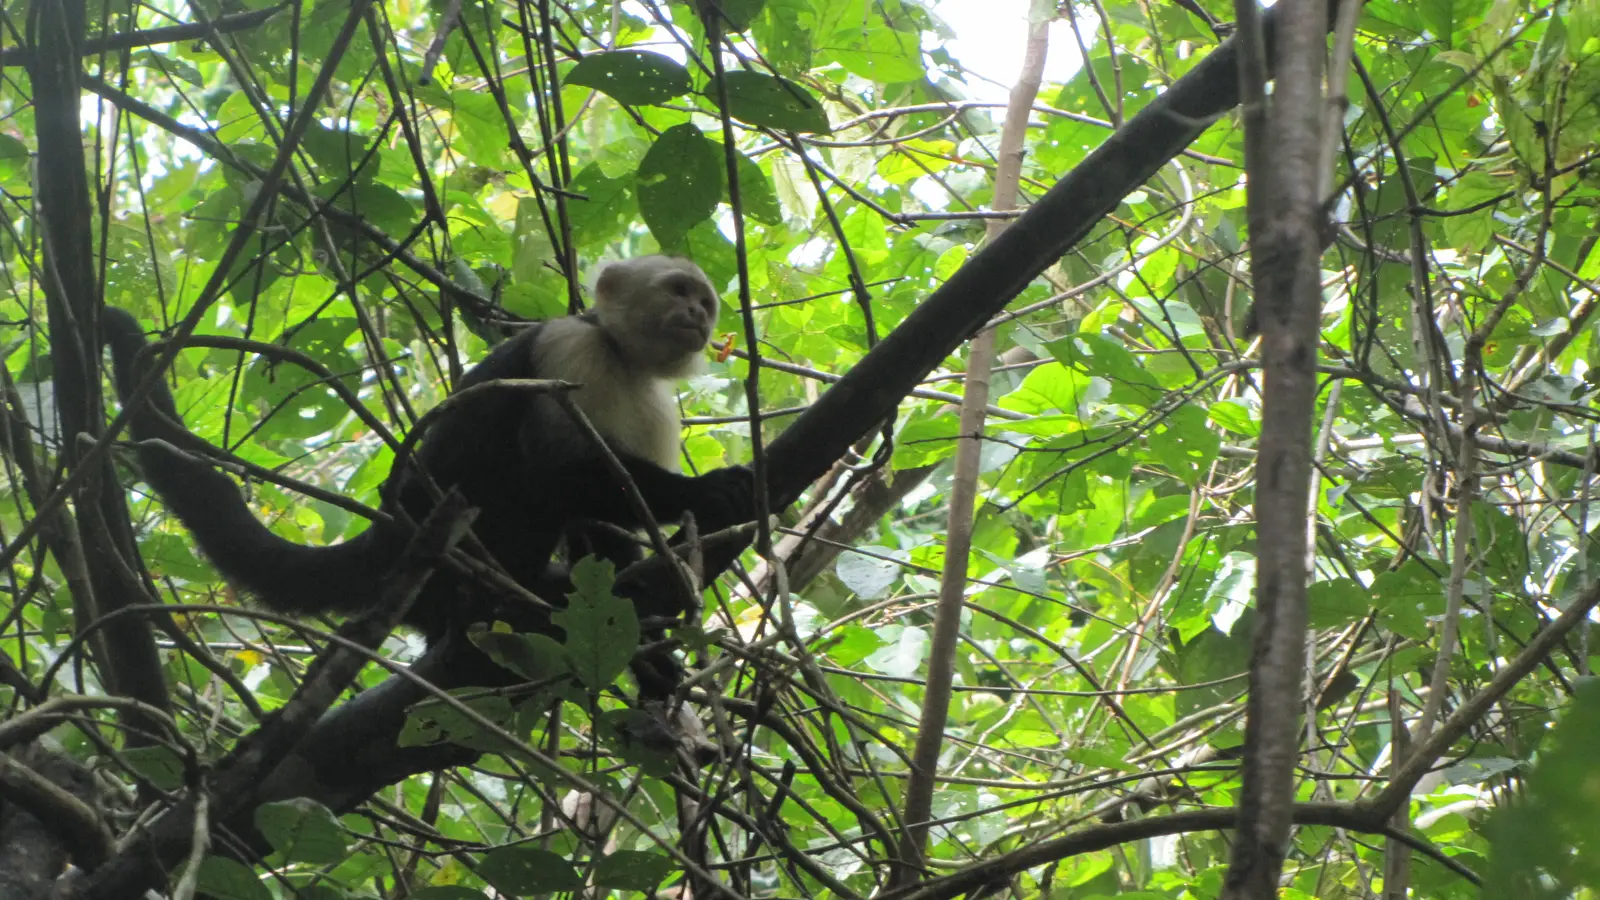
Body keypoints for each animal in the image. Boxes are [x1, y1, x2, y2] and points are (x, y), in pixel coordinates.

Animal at [102, 255, 755, 650]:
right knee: (516, 478)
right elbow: (560, 471)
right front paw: (709, 491)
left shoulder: (655, 405)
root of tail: (389, 536)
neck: (621, 356)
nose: (697, 315)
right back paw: (500, 599)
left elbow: (605, 522)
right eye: (678, 291)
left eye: (705, 302)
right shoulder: (570, 347)